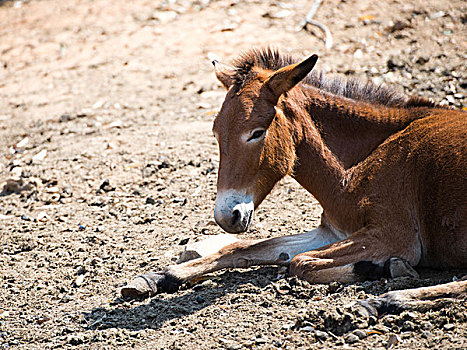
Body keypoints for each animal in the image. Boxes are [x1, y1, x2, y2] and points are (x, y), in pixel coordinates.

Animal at [122, 48, 466, 314]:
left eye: (257, 132)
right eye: (216, 132)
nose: (226, 216)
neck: (358, 167)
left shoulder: (394, 235)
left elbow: (299, 263)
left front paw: (377, 267)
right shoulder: (331, 232)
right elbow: (240, 248)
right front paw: (157, 277)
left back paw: (387, 299)